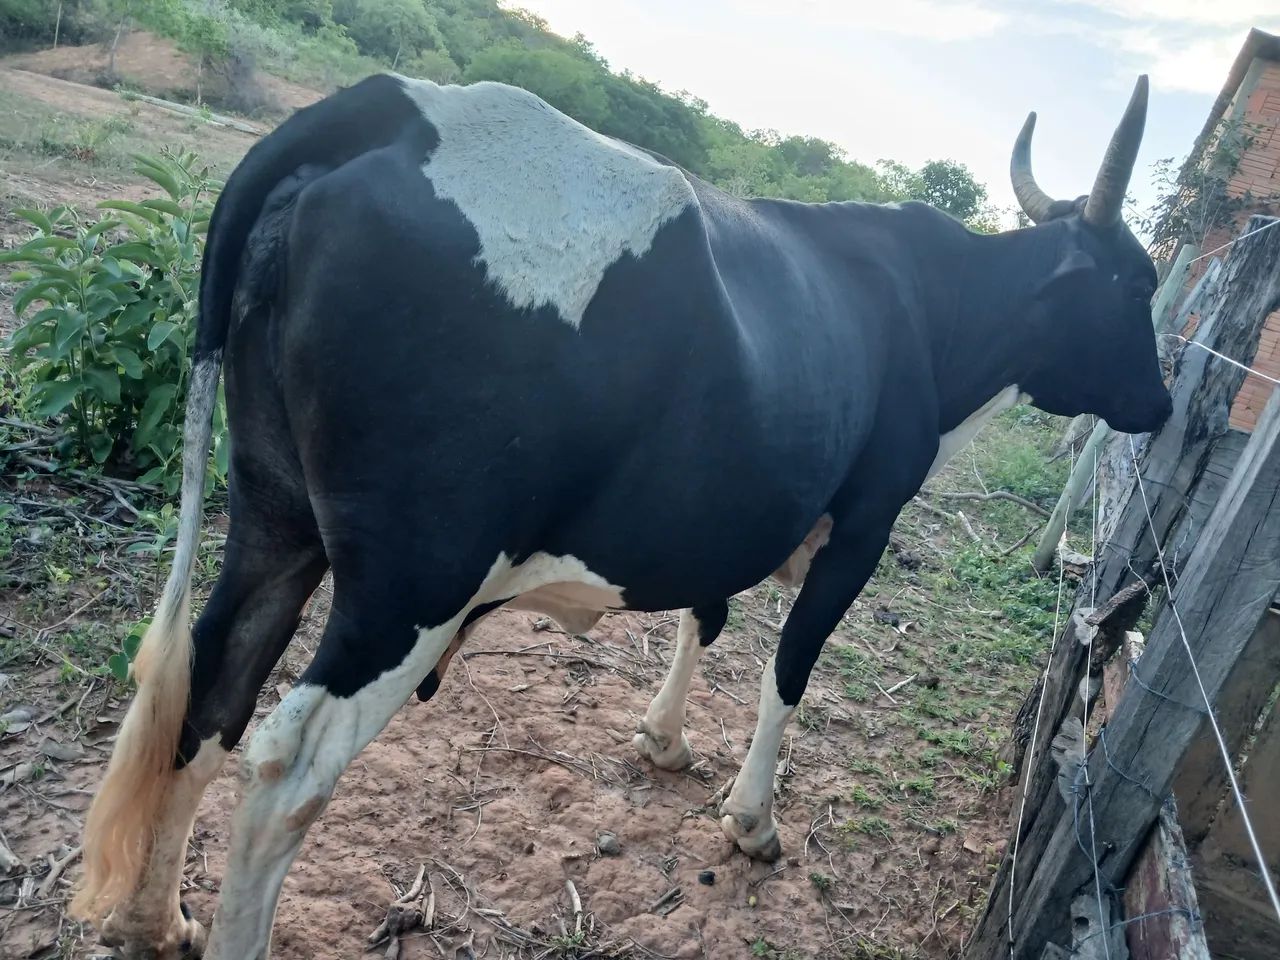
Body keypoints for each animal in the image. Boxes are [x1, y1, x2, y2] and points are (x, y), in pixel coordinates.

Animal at [72, 70, 1171, 959]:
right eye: (1136, 284)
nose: (1159, 406)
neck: (928, 312)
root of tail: (386, 106)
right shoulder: (863, 523)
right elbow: (790, 664)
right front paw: (751, 818)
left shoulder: (729, 510)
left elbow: (705, 616)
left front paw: (662, 737)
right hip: (413, 580)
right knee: (288, 767)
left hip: (273, 516)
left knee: (212, 684)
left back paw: (157, 918)